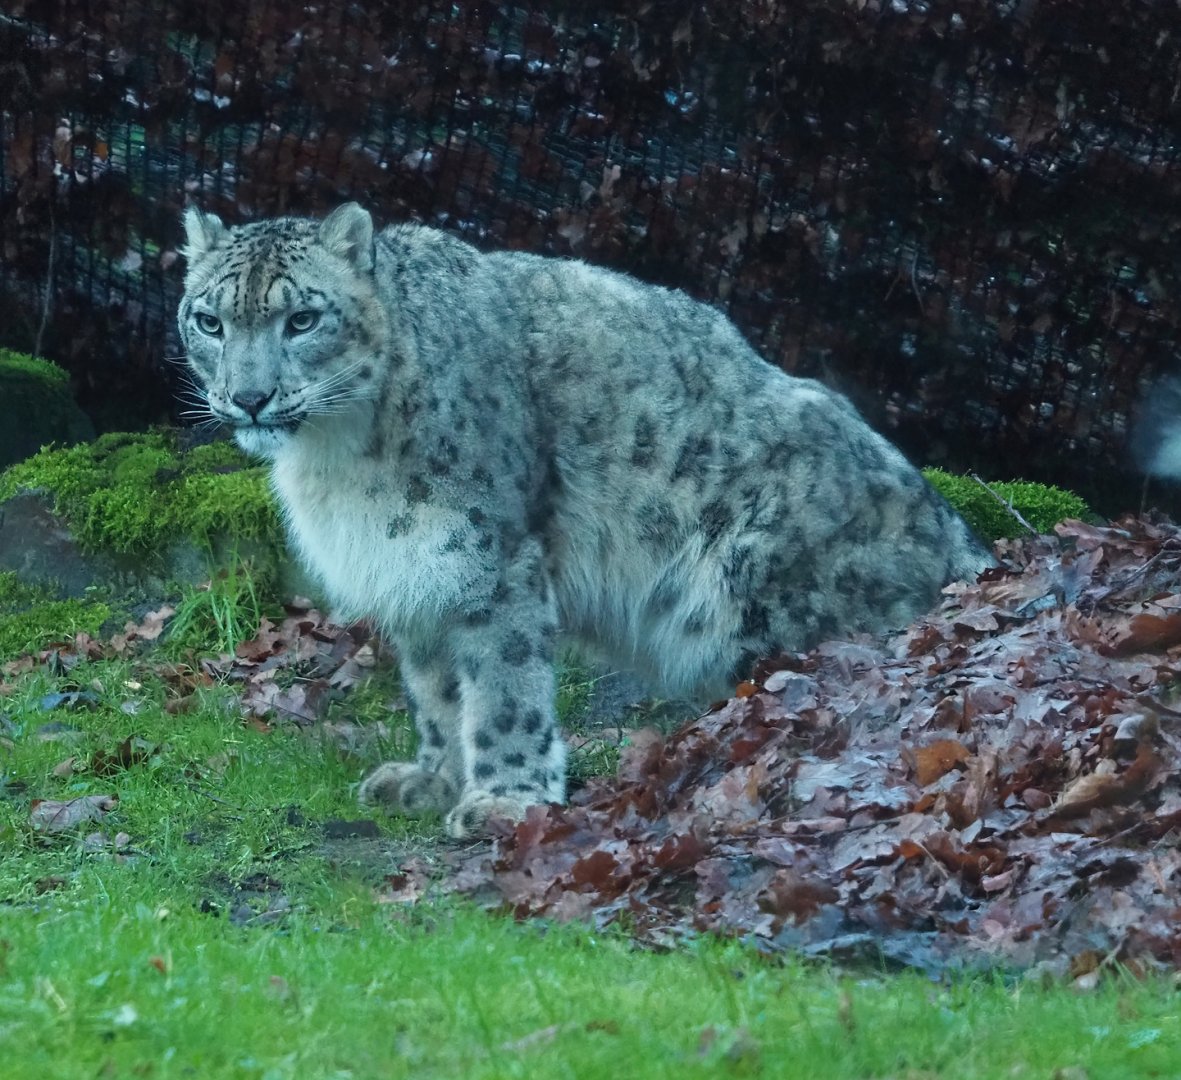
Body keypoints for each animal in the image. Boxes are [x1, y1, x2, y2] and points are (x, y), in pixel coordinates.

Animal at [178, 202, 992, 838]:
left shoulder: (487, 559)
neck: (335, 460)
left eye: (303, 318)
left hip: (761, 592)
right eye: (210, 321)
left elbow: (503, 689)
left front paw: (504, 801)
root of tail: (949, 530)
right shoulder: (417, 570)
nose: (248, 397)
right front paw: (432, 779)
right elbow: (438, 691)